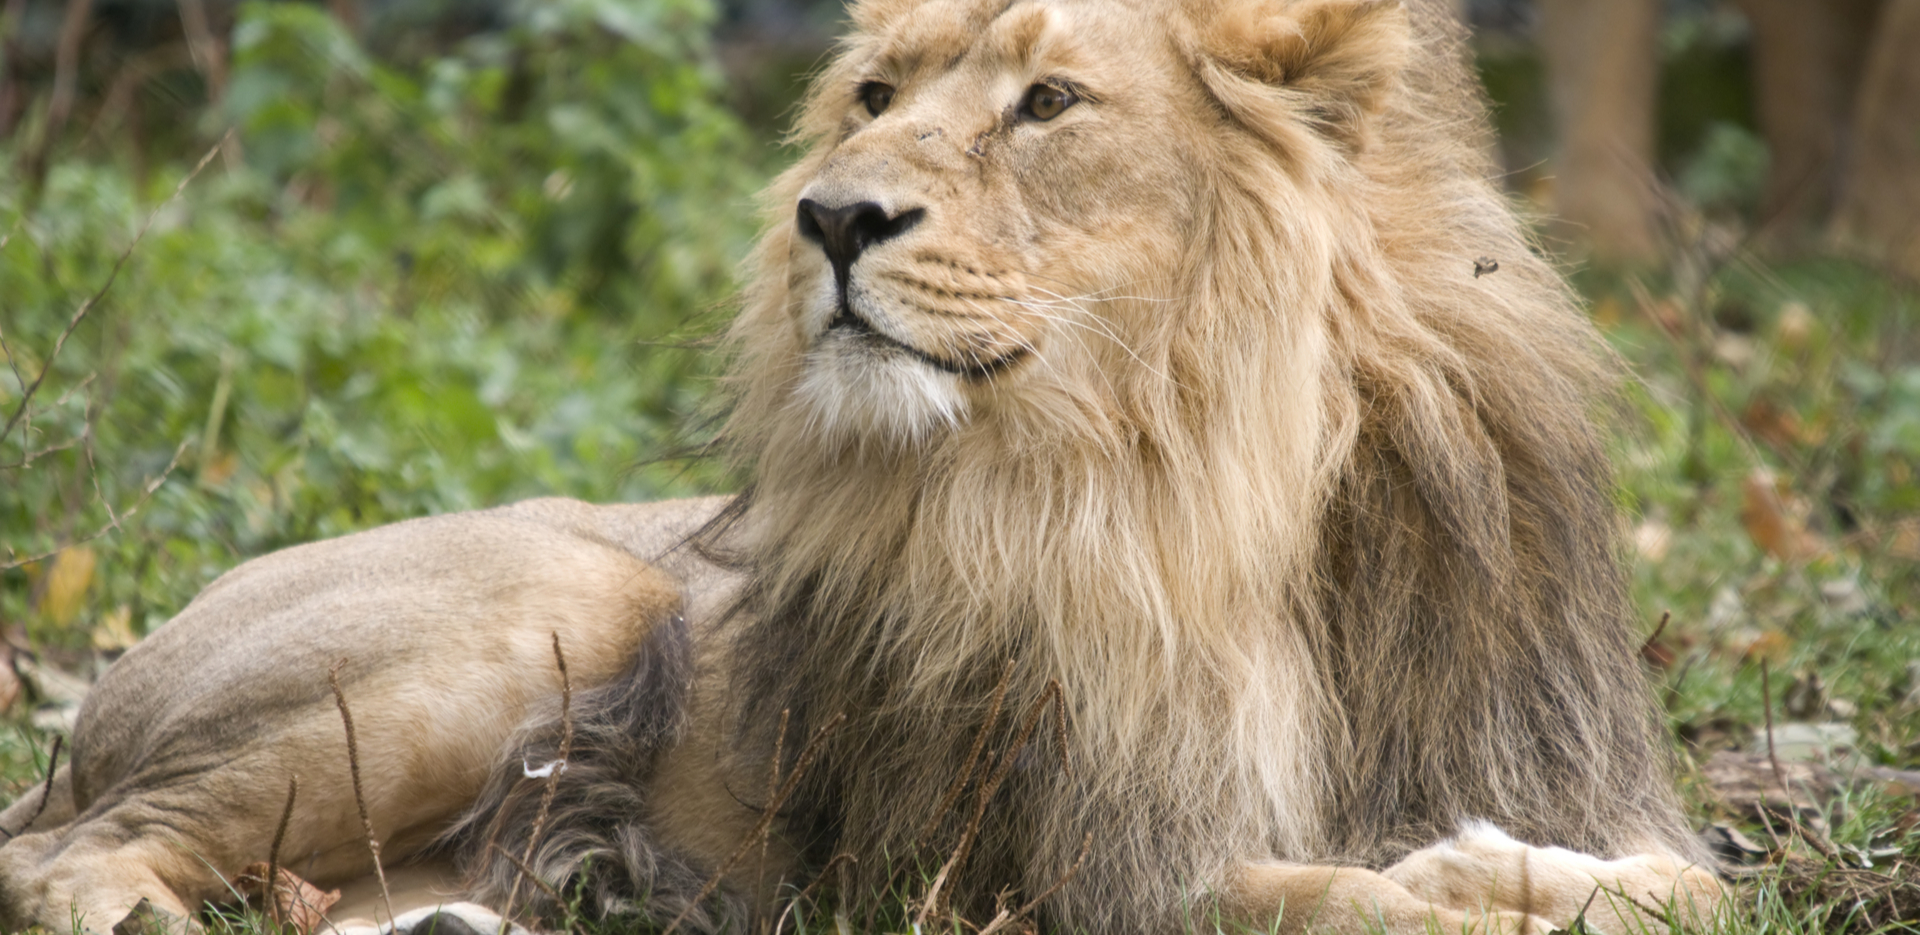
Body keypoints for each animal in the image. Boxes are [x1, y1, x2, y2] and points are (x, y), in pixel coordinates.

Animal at [0, 0, 1725, 932]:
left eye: (1048, 101)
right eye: (879, 96)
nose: (830, 216)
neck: (1220, 483)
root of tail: (81, 726)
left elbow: (1676, 884)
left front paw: (1511, 864)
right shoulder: (1059, 871)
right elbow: (1324, 895)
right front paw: (1454, 881)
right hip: (561, 599)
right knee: (71, 856)